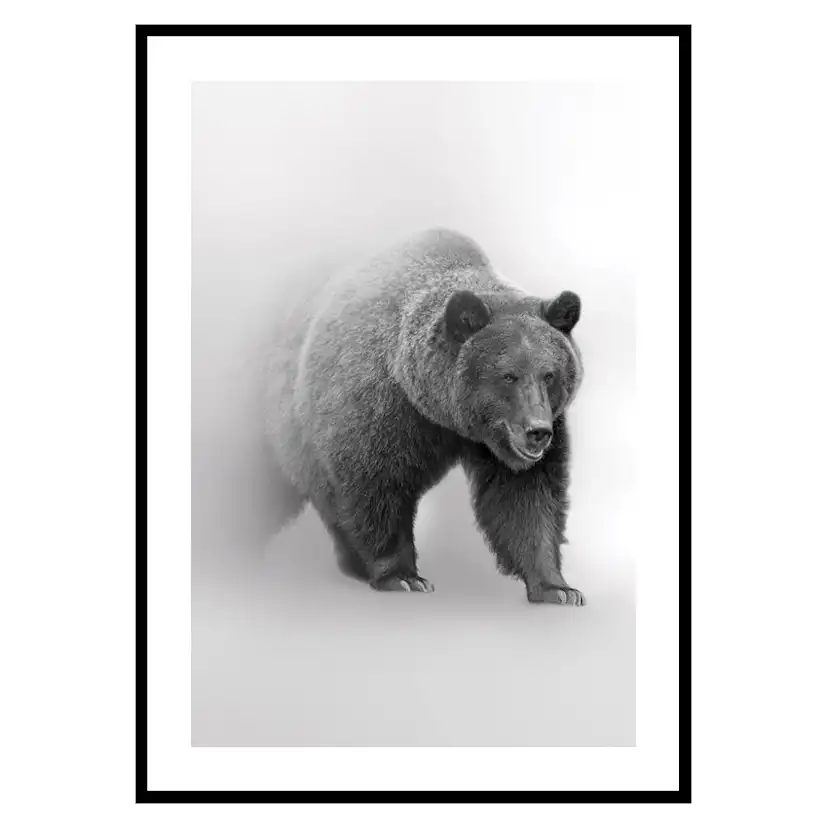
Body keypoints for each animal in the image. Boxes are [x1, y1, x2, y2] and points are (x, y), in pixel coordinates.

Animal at [264, 227, 585, 605]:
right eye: (508, 375)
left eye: (549, 374)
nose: (537, 432)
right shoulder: (376, 408)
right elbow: (375, 485)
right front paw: (403, 576)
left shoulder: (509, 440)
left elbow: (527, 497)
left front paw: (557, 587)